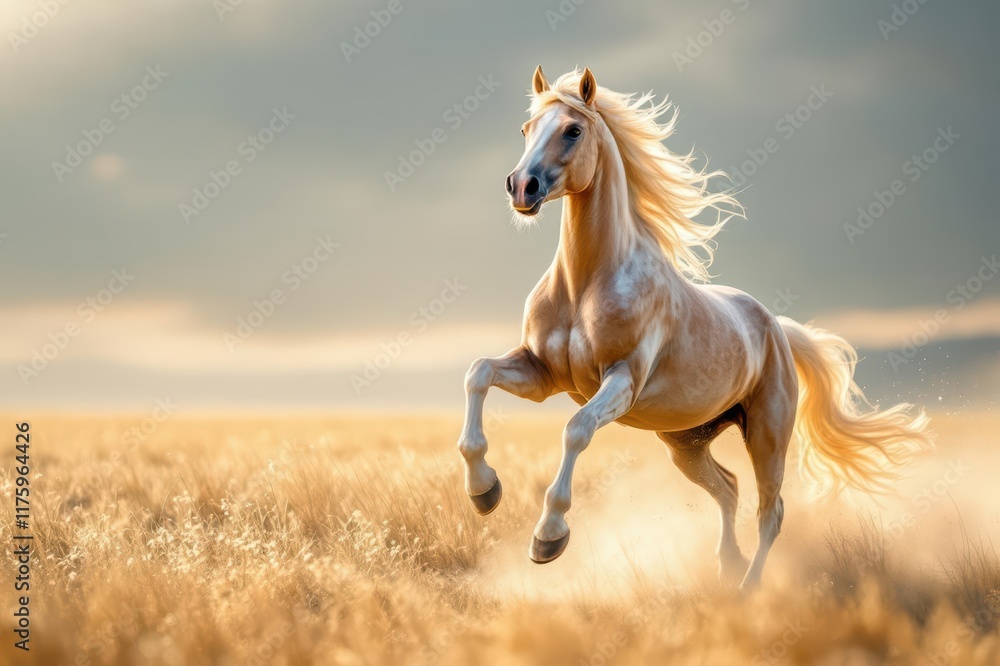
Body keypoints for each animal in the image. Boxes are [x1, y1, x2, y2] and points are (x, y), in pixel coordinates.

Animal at [456, 66, 932, 589]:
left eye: (573, 130)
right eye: (526, 129)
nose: (522, 186)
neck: (586, 285)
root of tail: (777, 329)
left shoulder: (622, 381)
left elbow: (576, 428)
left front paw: (548, 537)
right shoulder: (542, 374)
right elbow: (478, 373)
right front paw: (484, 491)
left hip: (767, 435)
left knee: (771, 512)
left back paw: (747, 591)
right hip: (685, 441)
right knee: (728, 488)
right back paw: (729, 565)